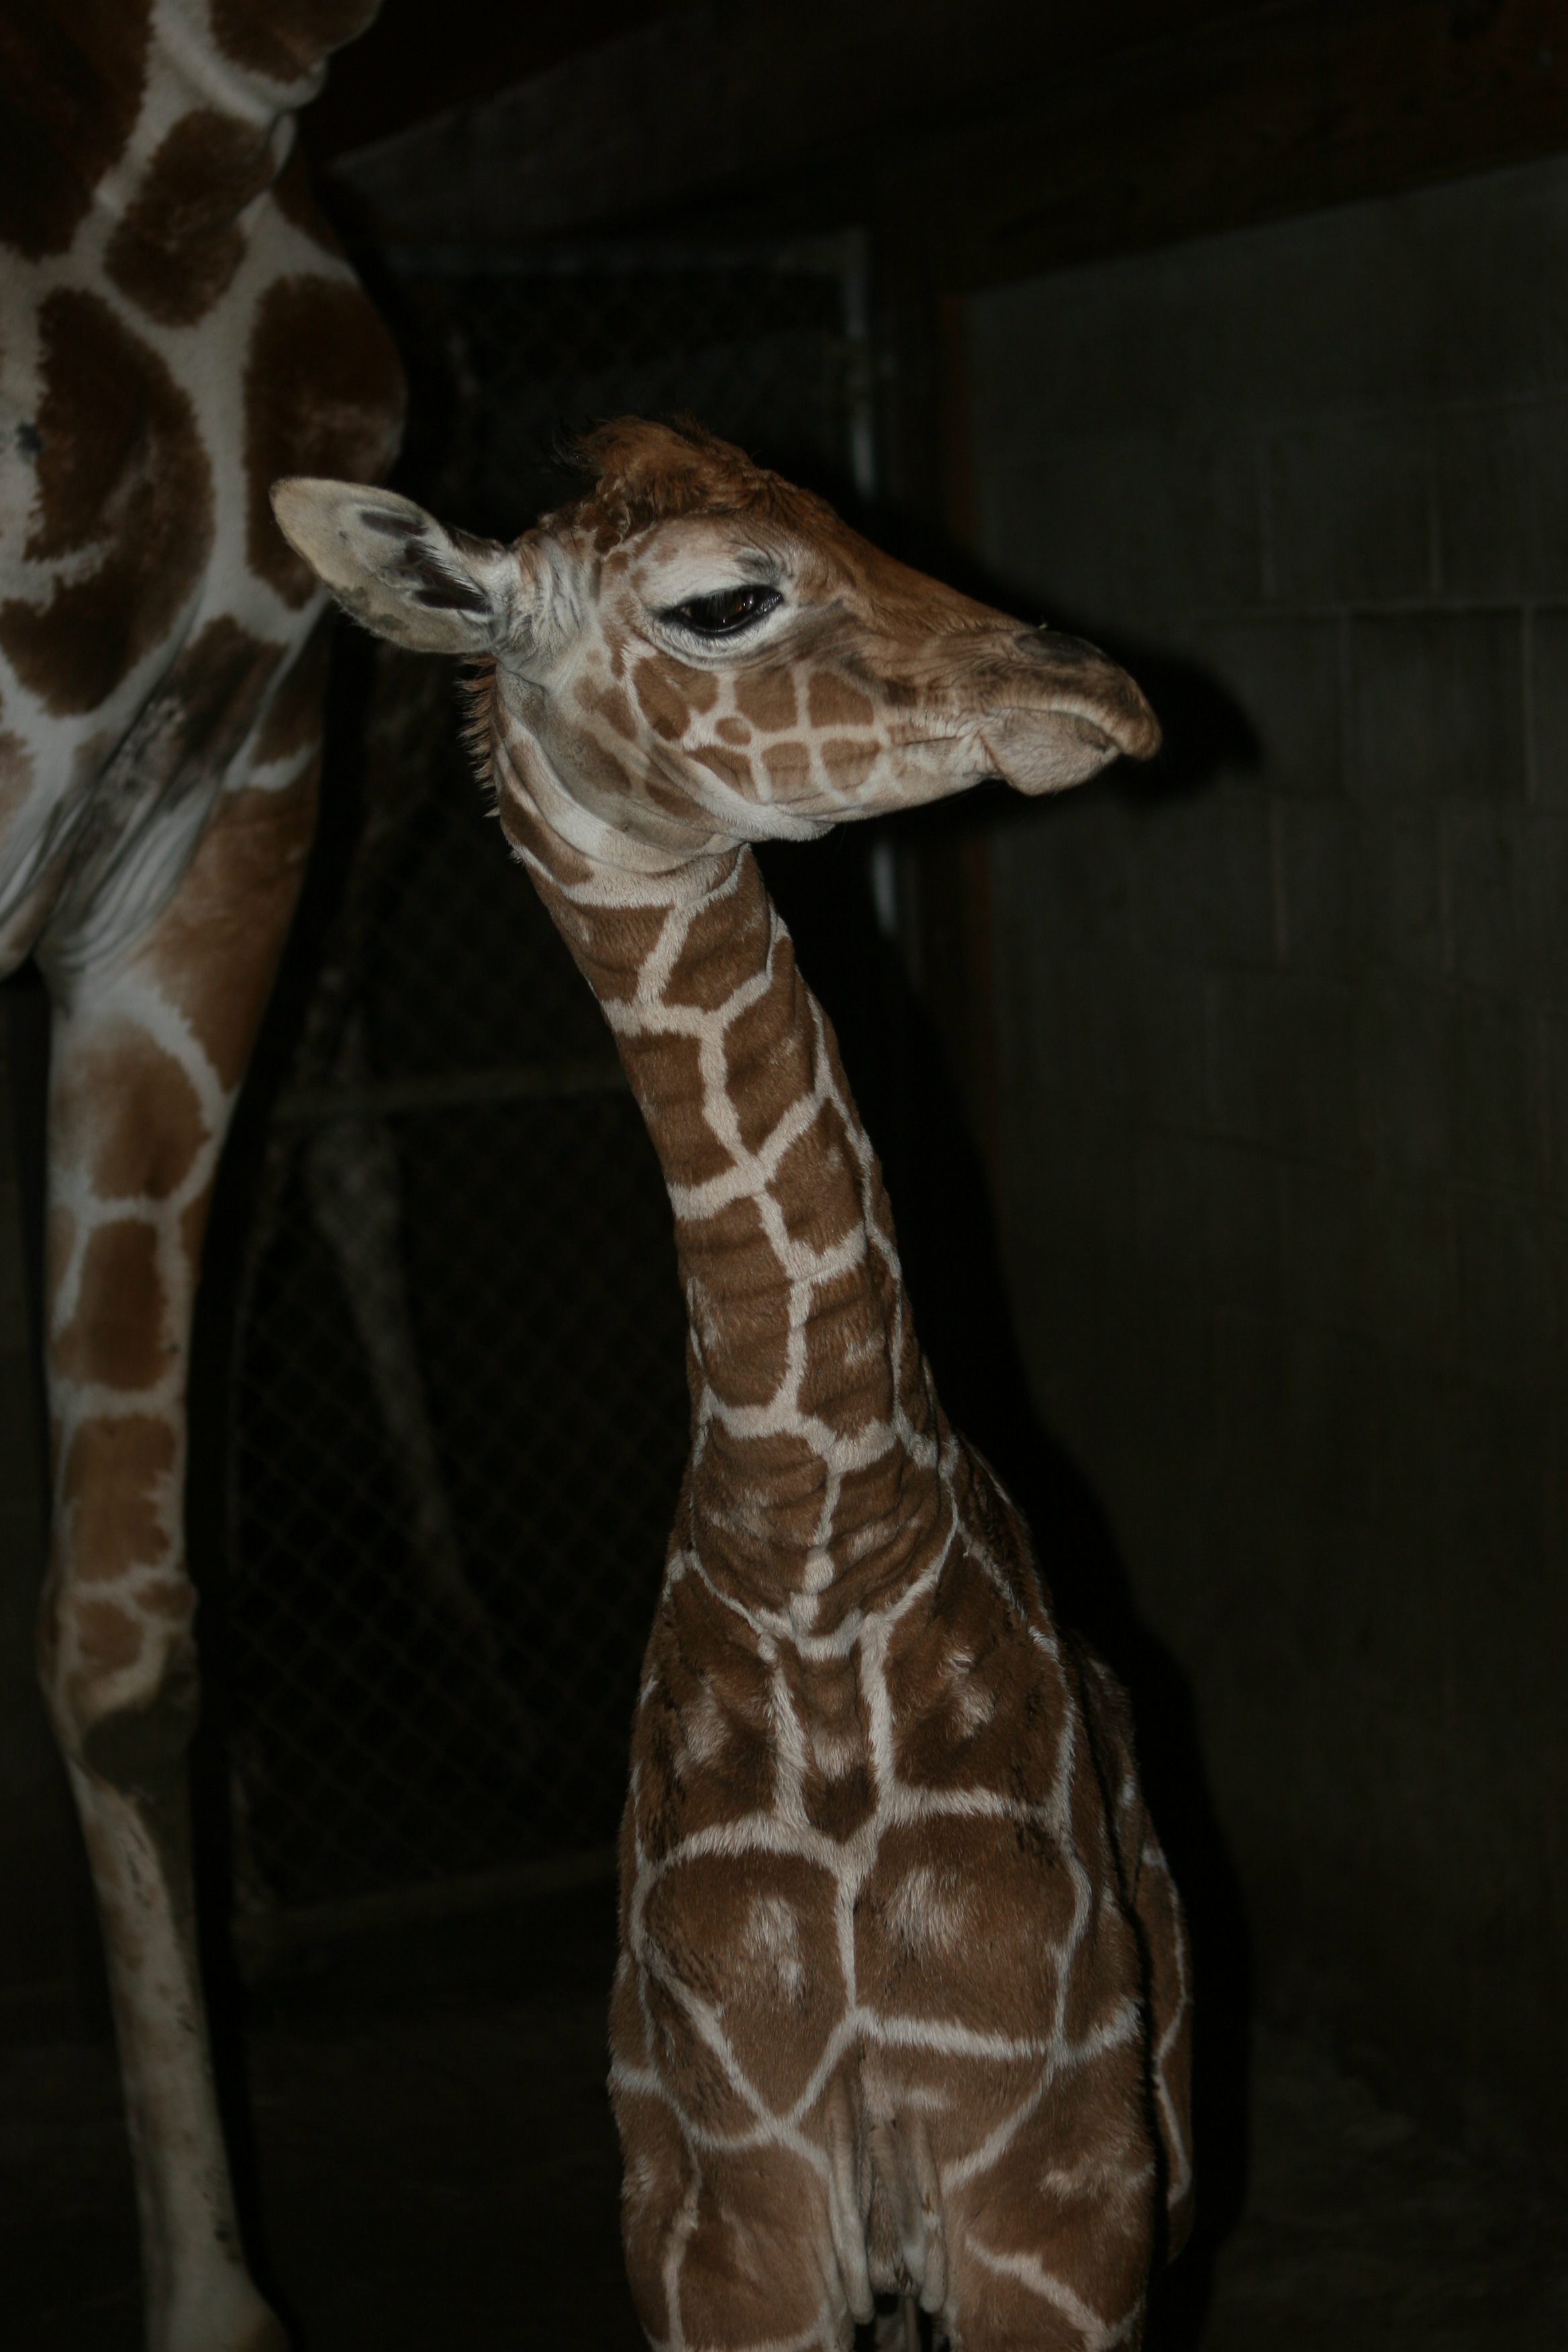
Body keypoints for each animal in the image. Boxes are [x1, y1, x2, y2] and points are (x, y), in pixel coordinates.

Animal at [275, 418, 1195, 2352]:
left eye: (847, 508)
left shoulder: (1057, 2191)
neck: (816, 1549)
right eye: (721, 600)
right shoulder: (731, 2225)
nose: (1105, 694)